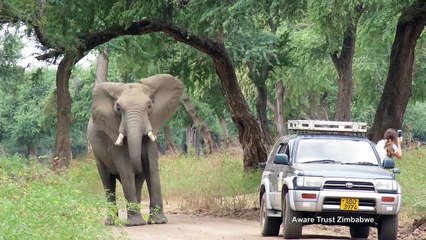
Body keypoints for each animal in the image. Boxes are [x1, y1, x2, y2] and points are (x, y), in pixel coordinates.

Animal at [88, 74, 183, 226]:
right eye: (118, 108)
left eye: (149, 106)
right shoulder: (113, 133)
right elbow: (126, 168)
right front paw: (135, 224)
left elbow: (151, 167)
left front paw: (158, 222)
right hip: (97, 155)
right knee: (107, 181)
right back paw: (111, 222)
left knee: (138, 181)